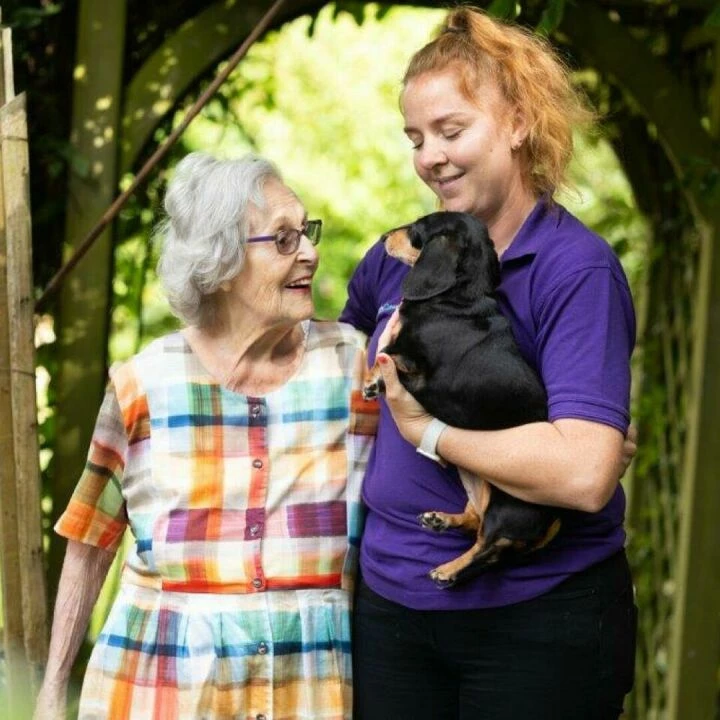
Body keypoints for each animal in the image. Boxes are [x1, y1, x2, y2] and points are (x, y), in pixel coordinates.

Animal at [366, 211, 564, 588]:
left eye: (417, 229)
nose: (382, 237)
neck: (457, 299)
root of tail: (558, 519)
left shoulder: (423, 374)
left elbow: (392, 356)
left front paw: (374, 380)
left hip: (507, 505)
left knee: (489, 550)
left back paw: (449, 570)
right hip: (483, 489)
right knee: (475, 521)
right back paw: (443, 520)